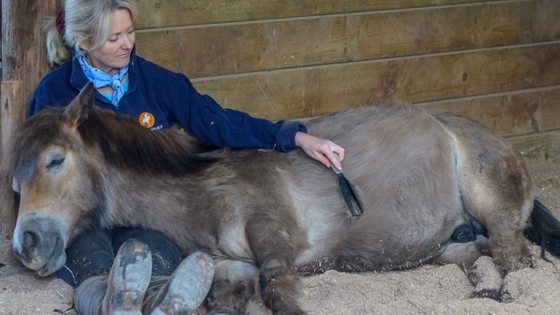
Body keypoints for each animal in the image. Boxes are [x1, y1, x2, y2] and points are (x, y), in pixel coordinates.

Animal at [4, 82, 560, 314]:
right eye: (14, 181)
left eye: (55, 160)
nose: (26, 243)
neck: (207, 189)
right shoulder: (230, 266)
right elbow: (220, 299)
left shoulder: (275, 247)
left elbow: (278, 293)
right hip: (449, 244)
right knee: (481, 257)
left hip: (494, 208)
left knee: (516, 258)